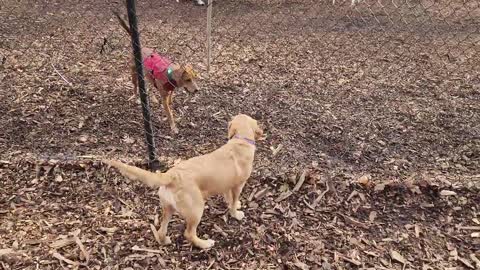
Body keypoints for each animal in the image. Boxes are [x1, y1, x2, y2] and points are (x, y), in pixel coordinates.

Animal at [103, 114, 264, 249]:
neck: (240, 140)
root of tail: (171, 175)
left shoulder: (226, 185)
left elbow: (229, 198)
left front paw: (235, 204)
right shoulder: (238, 185)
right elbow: (233, 201)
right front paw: (236, 213)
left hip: (168, 207)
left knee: (162, 231)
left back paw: (165, 241)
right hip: (196, 209)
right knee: (189, 234)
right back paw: (205, 244)